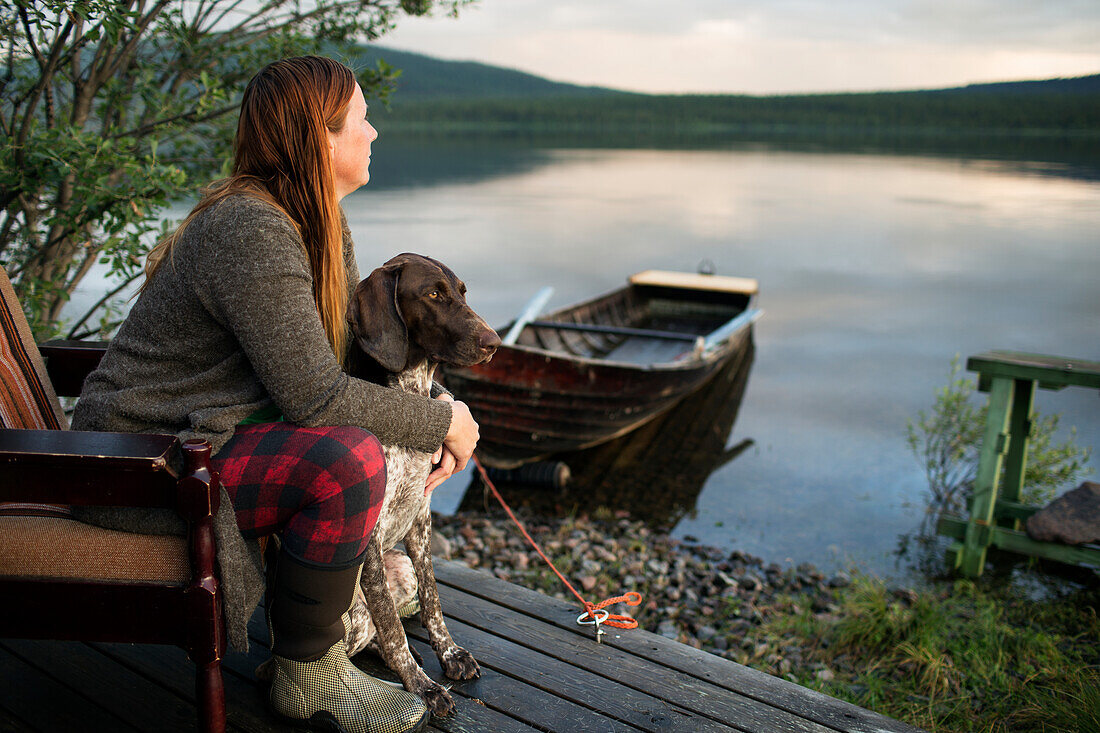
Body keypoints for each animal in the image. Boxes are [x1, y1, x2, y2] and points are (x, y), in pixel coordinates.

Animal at [343, 250, 499, 713]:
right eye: (433, 294)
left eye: (462, 292)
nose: (494, 342)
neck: (409, 392)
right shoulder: (370, 536)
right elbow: (392, 629)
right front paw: (423, 688)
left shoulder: (421, 518)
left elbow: (433, 601)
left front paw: (449, 654)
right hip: (351, 612)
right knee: (369, 633)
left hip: (403, 569)